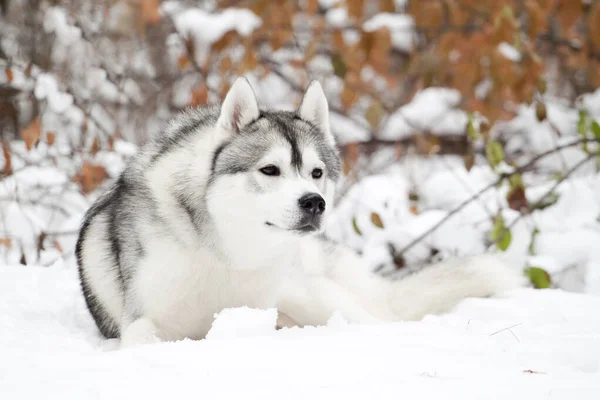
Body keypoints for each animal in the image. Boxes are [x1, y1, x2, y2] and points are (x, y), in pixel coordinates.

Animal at [76, 77, 524, 346]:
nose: (314, 202)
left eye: (316, 172)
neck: (227, 252)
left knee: (379, 321)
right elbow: (144, 334)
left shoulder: (259, 310)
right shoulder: (141, 323)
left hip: (307, 291)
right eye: (269, 170)